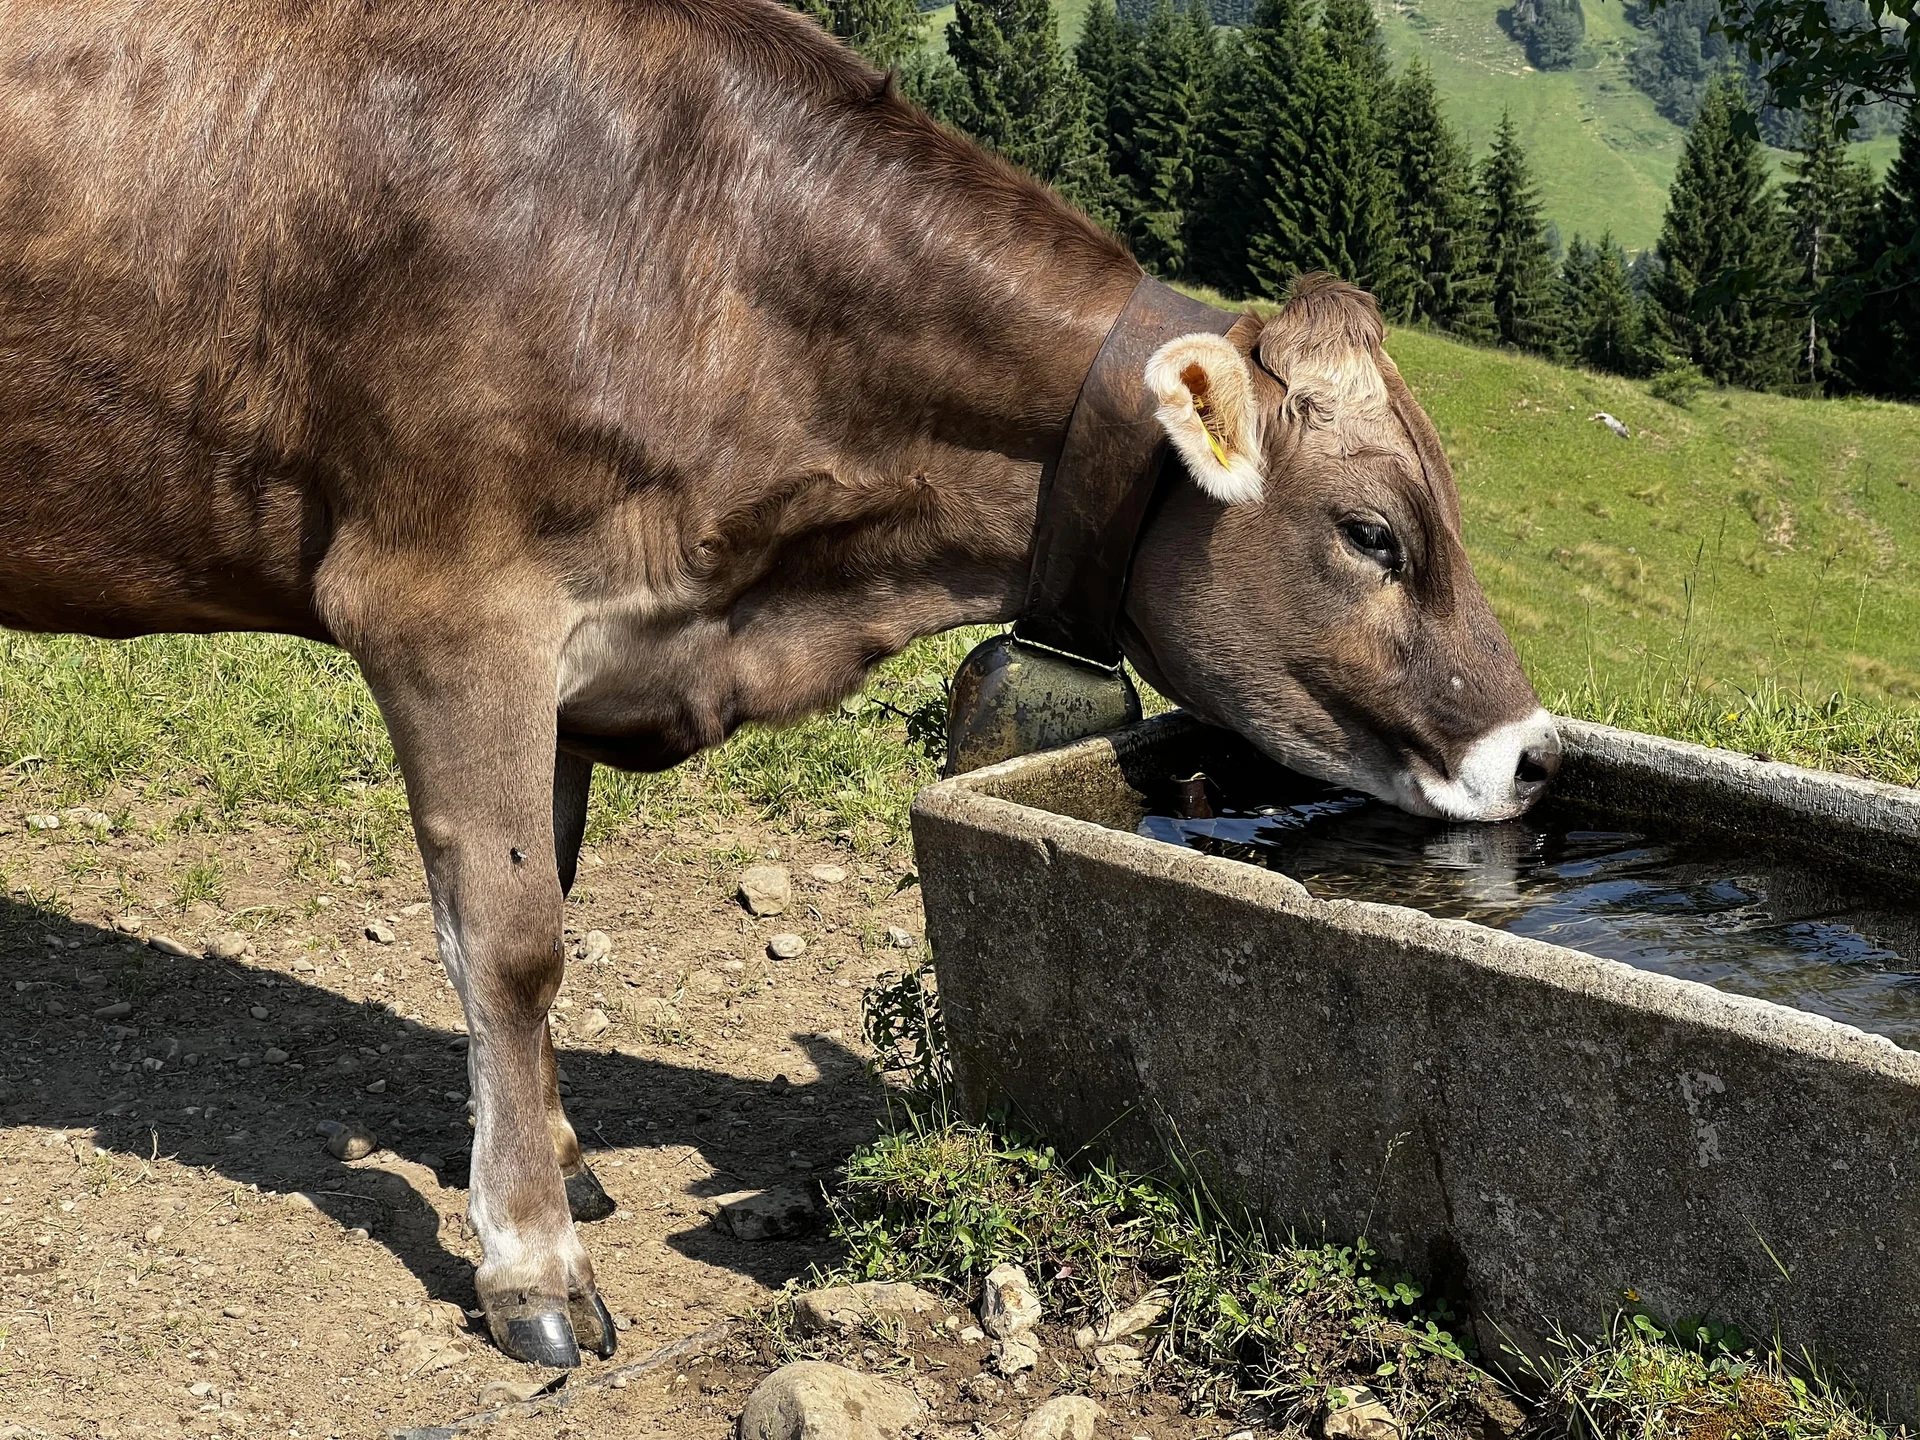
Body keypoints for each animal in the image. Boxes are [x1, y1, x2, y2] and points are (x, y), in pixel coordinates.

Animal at [0, 0, 1559, 1365]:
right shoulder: (448, 606)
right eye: (1374, 534)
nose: (1538, 751)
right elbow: (511, 942)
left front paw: (558, 1153)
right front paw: (532, 1262)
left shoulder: (576, 656)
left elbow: (550, 890)